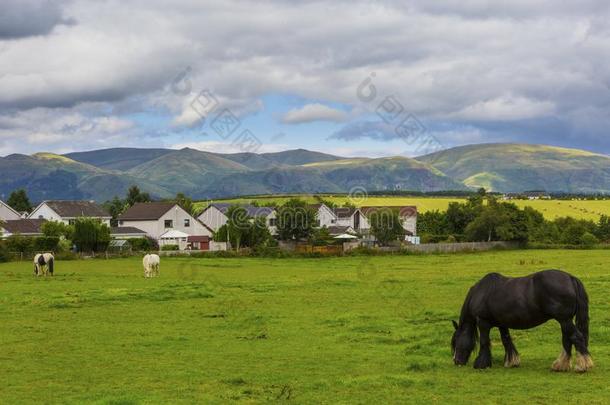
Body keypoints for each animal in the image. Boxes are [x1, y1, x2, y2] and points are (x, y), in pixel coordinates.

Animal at [448, 268, 592, 372]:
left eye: (456, 341)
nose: (456, 361)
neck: (481, 293)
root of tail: (571, 278)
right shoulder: (502, 324)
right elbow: (506, 340)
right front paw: (512, 361)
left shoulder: (483, 322)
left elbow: (484, 341)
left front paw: (481, 364)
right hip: (564, 321)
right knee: (568, 340)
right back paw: (561, 365)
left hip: (564, 320)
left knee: (576, 337)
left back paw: (582, 366)